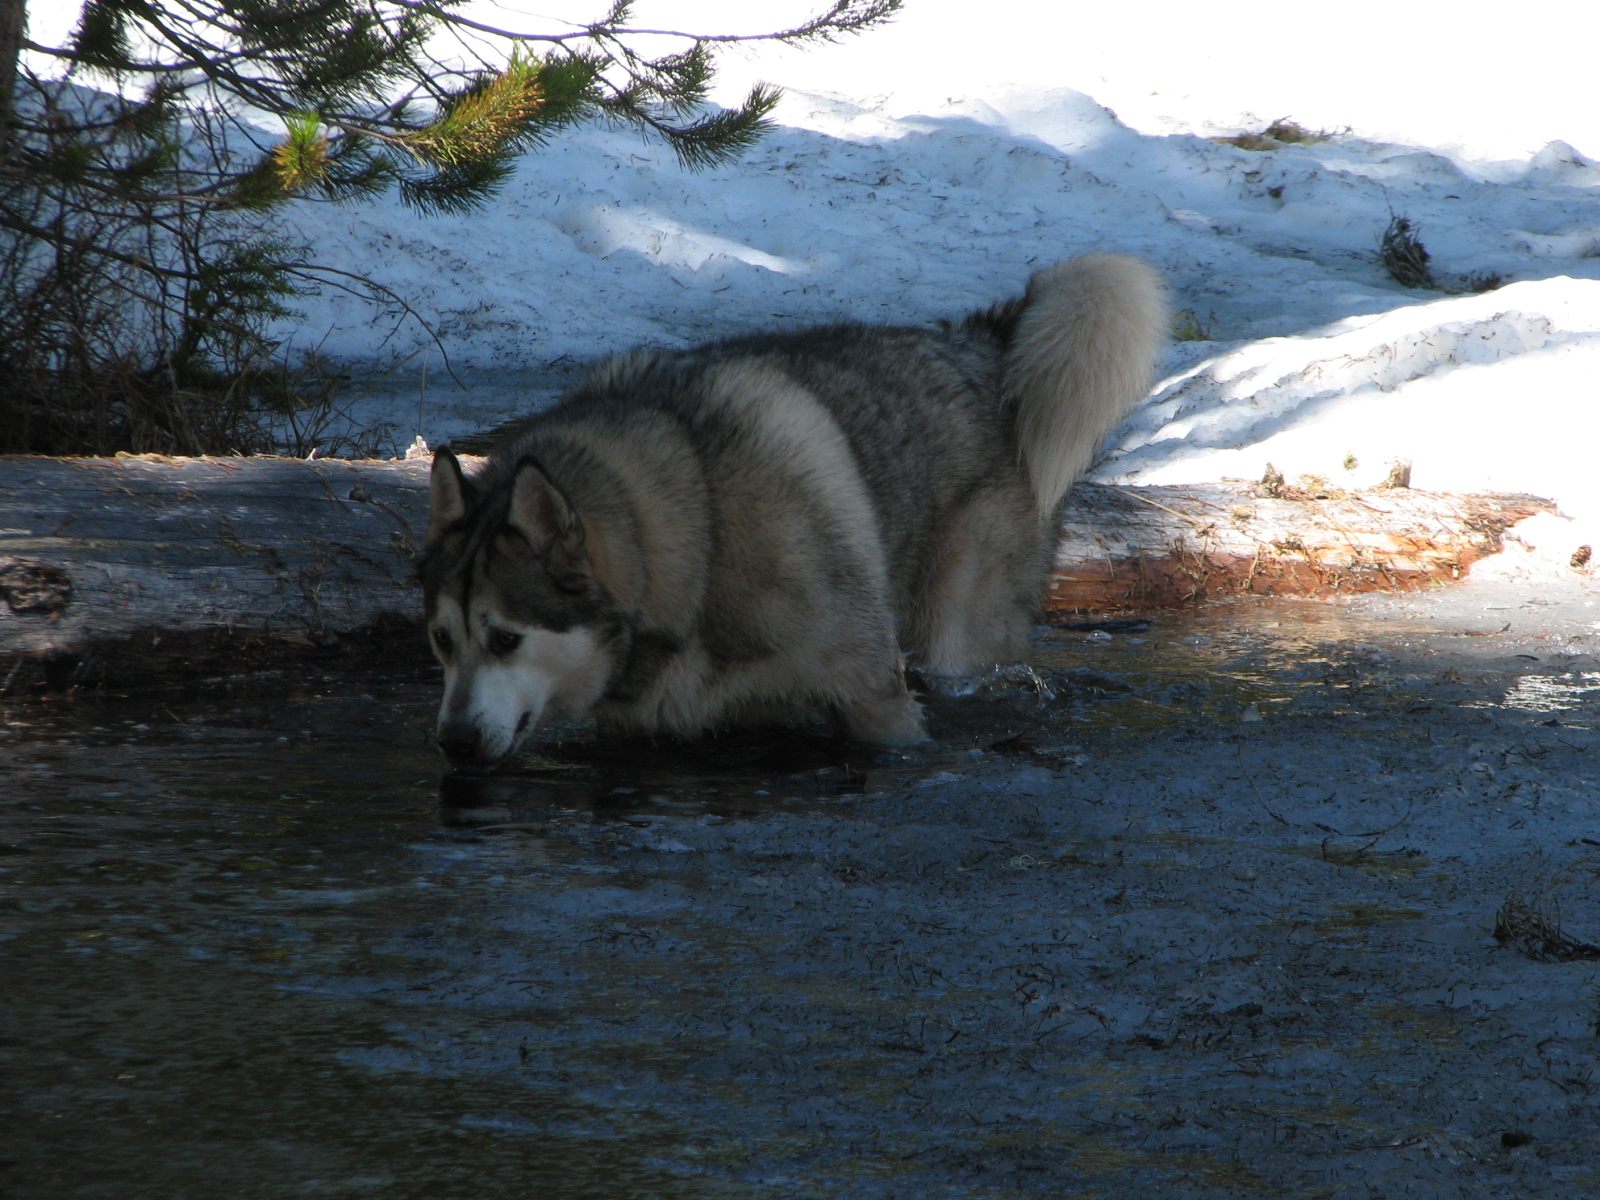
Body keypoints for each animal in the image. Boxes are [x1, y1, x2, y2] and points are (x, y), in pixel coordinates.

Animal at [422, 259, 1164, 774]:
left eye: (506, 639)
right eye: (442, 641)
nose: (453, 743)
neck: (704, 530)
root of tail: (981, 342)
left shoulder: (875, 698)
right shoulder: (644, 728)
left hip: (960, 637)